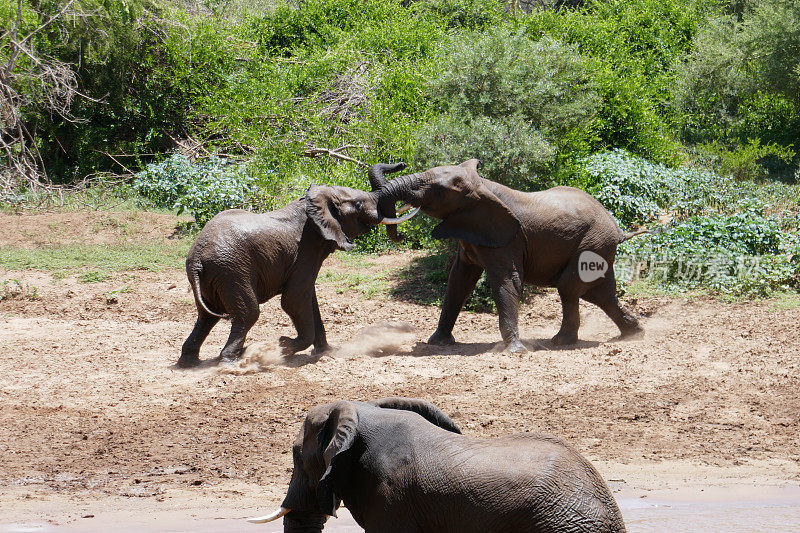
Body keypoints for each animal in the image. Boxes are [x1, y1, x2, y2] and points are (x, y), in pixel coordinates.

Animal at [175, 164, 412, 368]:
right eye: (359, 205)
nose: (401, 164)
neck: (314, 204)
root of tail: (197, 259)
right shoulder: (304, 251)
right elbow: (293, 299)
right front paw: (282, 345)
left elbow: (308, 298)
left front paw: (326, 352)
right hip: (231, 272)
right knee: (248, 313)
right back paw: (233, 362)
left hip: (216, 277)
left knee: (207, 317)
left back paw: (189, 363)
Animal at [376, 156, 648, 352]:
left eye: (438, 190)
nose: (400, 163)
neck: (483, 185)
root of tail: (617, 228)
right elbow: (459, 280)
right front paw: (438, 343)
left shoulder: (509, 240)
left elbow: (506, 280)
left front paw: (515, 351)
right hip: (597, 246)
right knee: (599, 292)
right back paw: (634, 333)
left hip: (593, 242)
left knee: (570, 288)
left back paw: (561, 342)